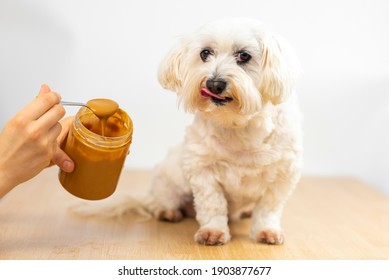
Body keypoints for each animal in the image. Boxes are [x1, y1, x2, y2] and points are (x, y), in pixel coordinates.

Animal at [74, 18, 302, 245]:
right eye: (205, 53)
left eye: (244, 55)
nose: (214, 83)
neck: (237, 126)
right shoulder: (203, 171)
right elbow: (213, 204)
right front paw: (213, 231)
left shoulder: (283, 175)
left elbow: (268, 208)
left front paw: (267, 230)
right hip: (168, 183)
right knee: (159, 202)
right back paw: (167, 211)